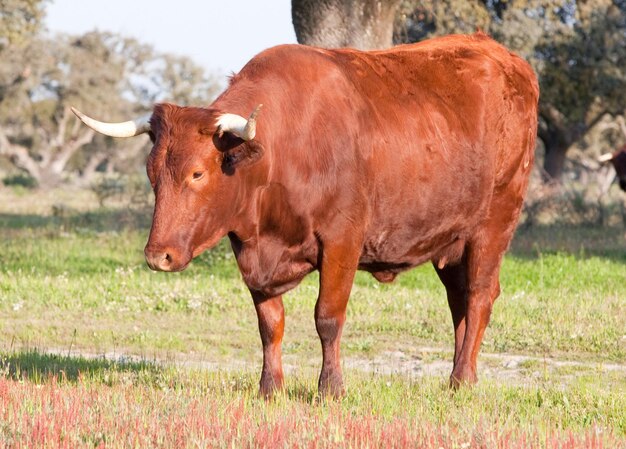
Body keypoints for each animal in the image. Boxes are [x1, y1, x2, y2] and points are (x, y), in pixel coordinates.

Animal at [73, 32, 540, 396]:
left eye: (197, 173)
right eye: (151, 173)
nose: (159, 256)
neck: (285, 150)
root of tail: (507, 59)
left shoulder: (342, 241)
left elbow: (327, 318)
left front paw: (330, 388)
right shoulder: (251, 252)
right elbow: (269, 323)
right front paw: (269, 387)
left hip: (494, 223)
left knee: (479, 297)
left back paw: (461, 380)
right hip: (451, 240)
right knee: (459, 300)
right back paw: (463, 373)